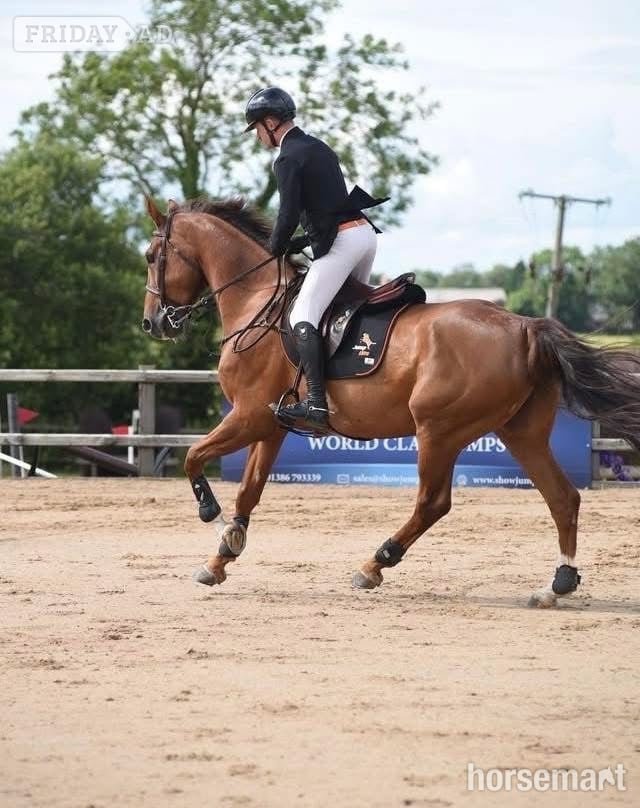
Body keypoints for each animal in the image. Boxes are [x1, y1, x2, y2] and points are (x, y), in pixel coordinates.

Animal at [141, 195, 640, 606]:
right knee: (562, 498)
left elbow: (192, 457)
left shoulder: (247, 417)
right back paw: (557, 585)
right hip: (521, 432)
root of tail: (525, 327)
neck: (256, 299)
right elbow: (249, 489)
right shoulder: (270, 424)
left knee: (433, 503)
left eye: (150, 256)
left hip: (438, 430)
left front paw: (211, 516)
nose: (153, 324)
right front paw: (221, 556)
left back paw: (374, 565)